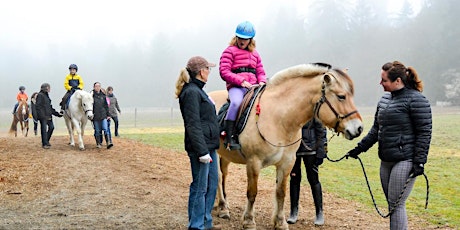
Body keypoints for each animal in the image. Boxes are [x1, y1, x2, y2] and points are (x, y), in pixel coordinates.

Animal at [208, 62, 362, 229]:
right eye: (341, 96)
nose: (359, 128)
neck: (278, 118)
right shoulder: (253, 162)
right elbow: (252, 192)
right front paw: (249, 221)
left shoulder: (287, 162)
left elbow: (281, 193)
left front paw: (280, 222)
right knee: (218, 178)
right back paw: (223, 208)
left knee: (222, 175)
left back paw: (221, 205)